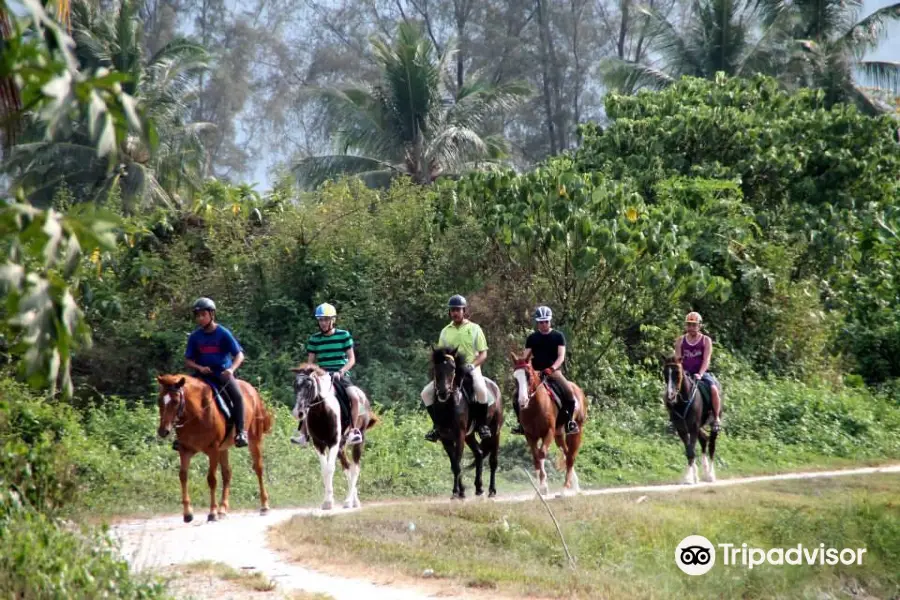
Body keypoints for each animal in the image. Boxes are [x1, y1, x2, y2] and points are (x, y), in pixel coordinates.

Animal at [156, 372, 272, 524]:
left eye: (175, 401)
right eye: (159, 401)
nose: (163, 431)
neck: (196, 414)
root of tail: (252, 390)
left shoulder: (213, 450)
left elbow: (211, 479)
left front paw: (212, 513)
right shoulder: (185, 450)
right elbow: (183, 476)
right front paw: (188, 513)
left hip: (254, 439)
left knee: (258, 468)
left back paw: (264, 506)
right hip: (223, 448)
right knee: (227, 473)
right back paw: (223, 509)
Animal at [290, 364, 378, 508]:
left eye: (309, 385)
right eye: (295, 385)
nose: (299, 412)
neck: (321, 412)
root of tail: (364, 398)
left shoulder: (333, 442)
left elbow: (330, 469)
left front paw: (329, 502)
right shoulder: (319, 444)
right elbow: (324, 470)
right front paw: (327, 500)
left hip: (358, 441)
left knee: (355, 469)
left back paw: (349, 501)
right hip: (341, 448)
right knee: (347, 468)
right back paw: (354, 500)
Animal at [428, 344, 502, 500]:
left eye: (452, 368)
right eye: (436, 368)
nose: (443, 392)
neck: (449, 404)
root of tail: (494, 386)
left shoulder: (459, 435)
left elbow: (457, 464)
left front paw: (456, 492)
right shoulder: (445, 438)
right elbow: (454, 464)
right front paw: (461, 491)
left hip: (495, 431)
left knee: (493, 461)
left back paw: (492, 490)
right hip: (470, 435)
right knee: (479, 453)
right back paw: (479, 488)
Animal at [510, 352, 588, 496]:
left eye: (528, 375)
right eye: (515, 377)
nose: (522, 401)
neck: (534, 407)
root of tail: (578, 390)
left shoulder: (548, 432)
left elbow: (541, 454)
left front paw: (543, 486)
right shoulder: (530, 435)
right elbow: (536, 457)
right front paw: (540, 488)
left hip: (576, 430)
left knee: (571, 456)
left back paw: (565, 489)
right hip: (559, 434)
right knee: (567, 453)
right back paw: (573, 484)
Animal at [656, 354, 720, 486]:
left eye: (677, 372)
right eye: (665, 373)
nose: (670, 396)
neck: (682, 402)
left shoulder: (693, 428)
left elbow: (691, 451)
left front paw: (689, 478)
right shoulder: (682, 429)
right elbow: (689, 451)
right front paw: (691, 477)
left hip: (712, 423)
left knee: (712, 445)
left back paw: (710, 475)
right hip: (699, 427)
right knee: (704, 440)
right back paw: (705, 471)